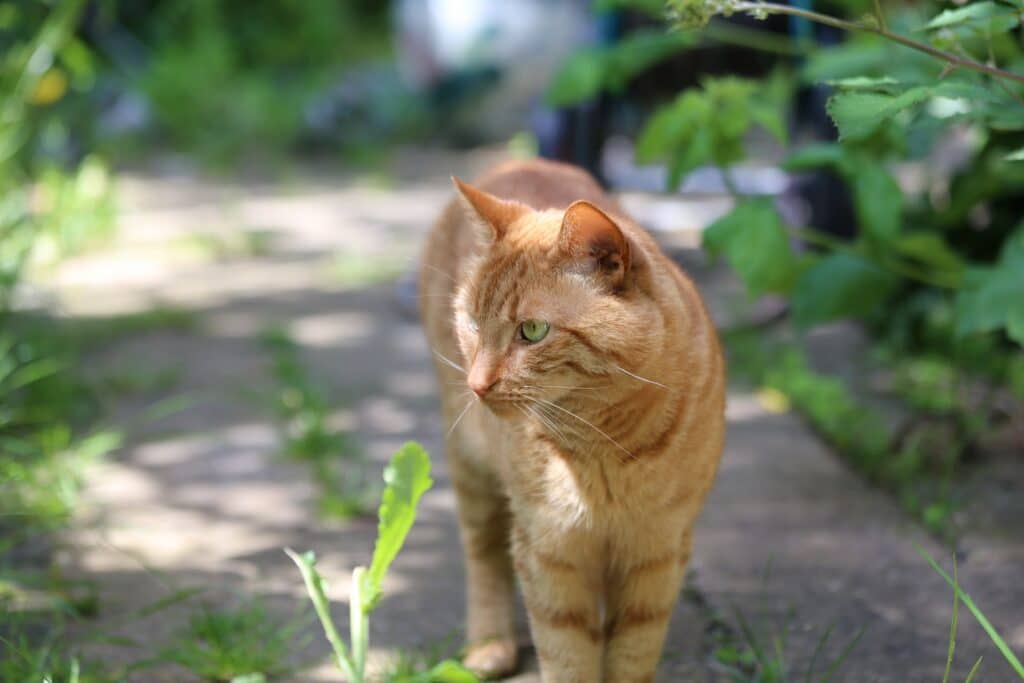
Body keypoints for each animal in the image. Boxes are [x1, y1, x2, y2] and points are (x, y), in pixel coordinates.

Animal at [419, 157, 724, 679]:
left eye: (532, 331)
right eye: (472, 323)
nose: (478, 384)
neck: (607, 447)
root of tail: (521, 158)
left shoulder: (657, 553)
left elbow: (632, 654)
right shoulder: (549, 553)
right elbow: (567, 656)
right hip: (471, 469)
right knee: (483, 554)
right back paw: (489, 646)